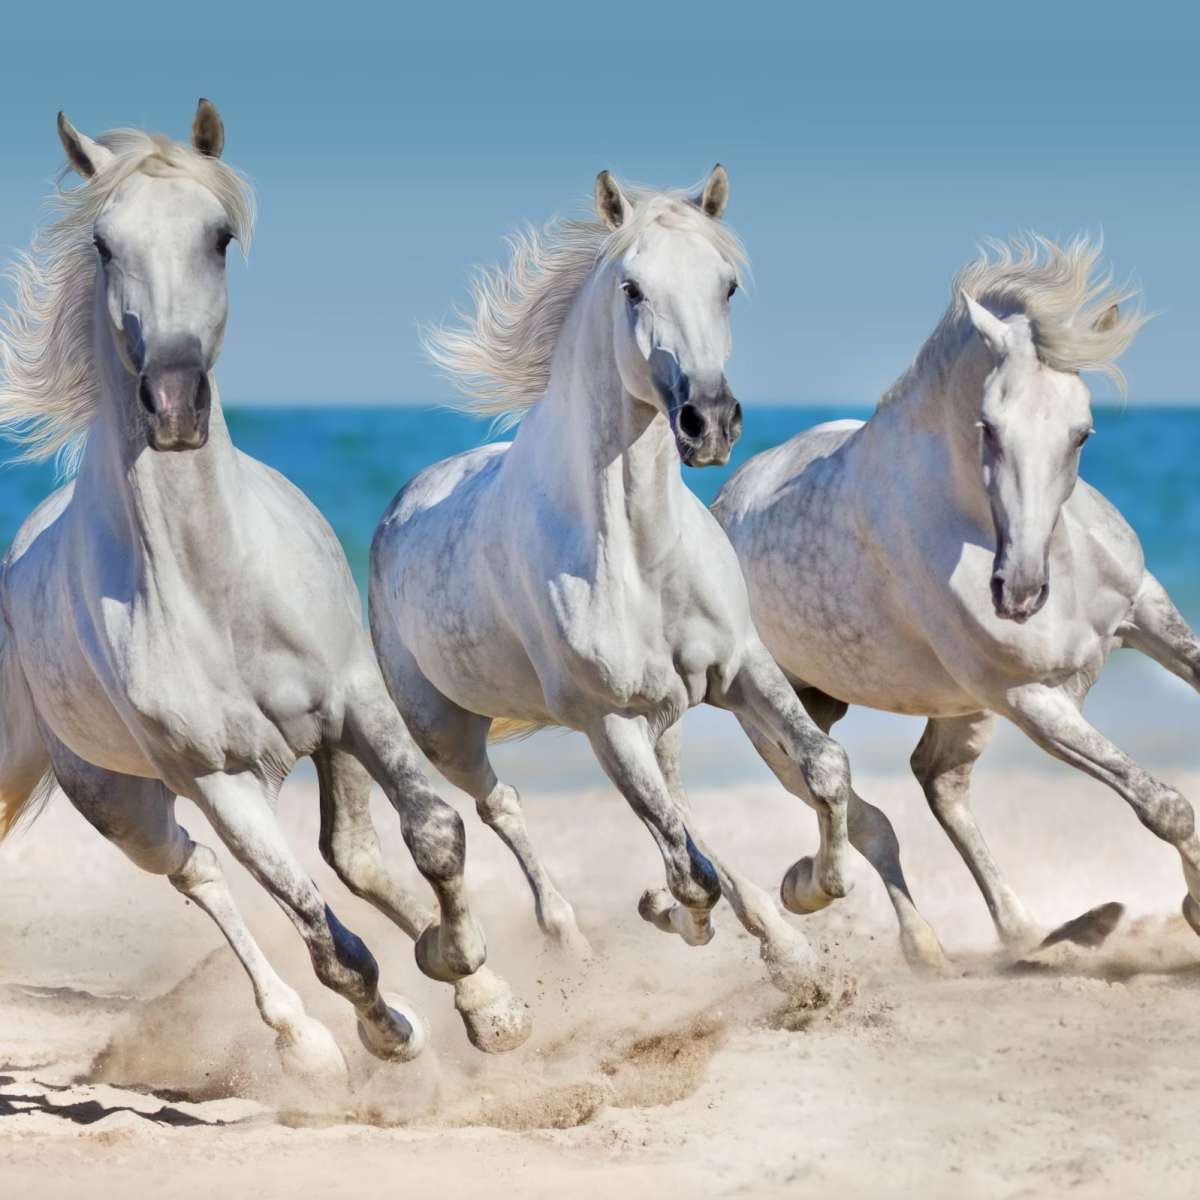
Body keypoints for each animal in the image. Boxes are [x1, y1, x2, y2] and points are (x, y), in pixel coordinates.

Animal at [0, 102, 529, 1081]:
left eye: (219, 236)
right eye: (102, 243)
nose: (173, 405)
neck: (216, 587)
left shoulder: (356, 702)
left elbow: (433, 833)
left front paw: (485, 997)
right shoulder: (218, 780)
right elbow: (326, 939)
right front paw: (390, 1031)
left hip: (322, 745)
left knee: (353, 855)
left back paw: (453, 969)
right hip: (118, 799)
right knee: (199, 872)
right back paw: (307, 1042)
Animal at [370, 166, 939, 993]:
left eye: (727, 284)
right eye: (632, 288)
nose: (710, 421)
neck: (638, 553)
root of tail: (401, 505)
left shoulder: (741, 666)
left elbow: (824, 769)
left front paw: (808, 888)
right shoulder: (607, 719)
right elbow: (689, 873)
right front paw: (690, 916)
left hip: (664, 715)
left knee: (677, 807)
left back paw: (777, 940)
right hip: (451, 733)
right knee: (503, 805)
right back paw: (569, 938)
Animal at [714, 236, 1195, 967]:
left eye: (1082, 433)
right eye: (988, 428)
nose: (1019, 592)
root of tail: (722, 504)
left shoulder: (1148, 615)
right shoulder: (1028, 698)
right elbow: (1163, 805)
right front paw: (1197, 907)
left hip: (943, 707)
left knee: (938, 783)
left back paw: (1029, 929)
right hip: (775, 713)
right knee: (862, 815)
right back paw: (866, 919)